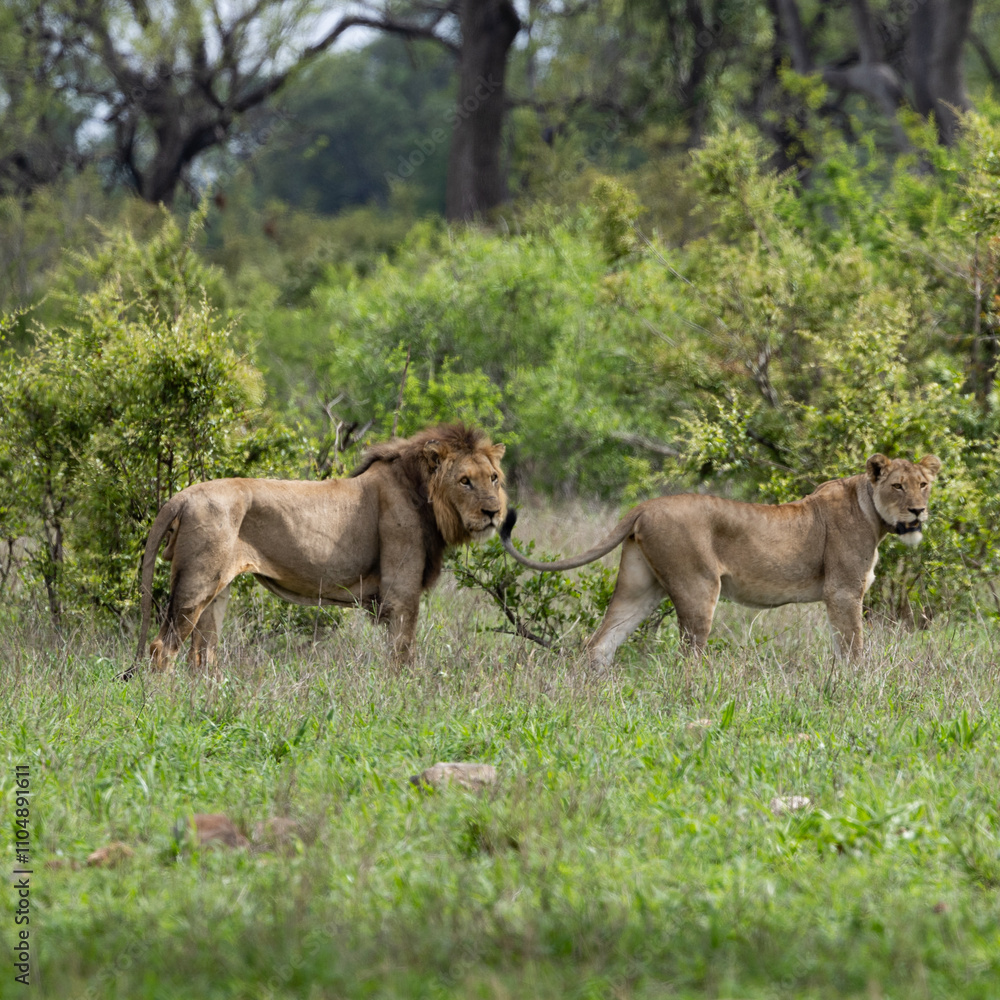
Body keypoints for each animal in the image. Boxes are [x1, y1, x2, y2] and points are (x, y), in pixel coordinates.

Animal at [126, 424, 506, 677]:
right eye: (465, 481)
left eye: (493, 478)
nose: (493, 512)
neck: (423, 494)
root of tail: (182, 496)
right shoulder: (401, 593)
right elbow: (402, 654)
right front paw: (404, 694)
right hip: (197, 583)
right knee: (162, 649)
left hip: (216, 589)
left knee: (202, 655)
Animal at [500, 454, 941, 666]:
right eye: (898, 486)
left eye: (924, 484)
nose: (918, 512)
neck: (871, 513)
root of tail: (645, 505)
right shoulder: (843, 591)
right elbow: (853, 648)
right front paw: (857, 683)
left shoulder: (840, 595)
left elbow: (843, 646)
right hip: (698, 587)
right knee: (688, 656)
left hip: (639, 587)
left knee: (600, 644)